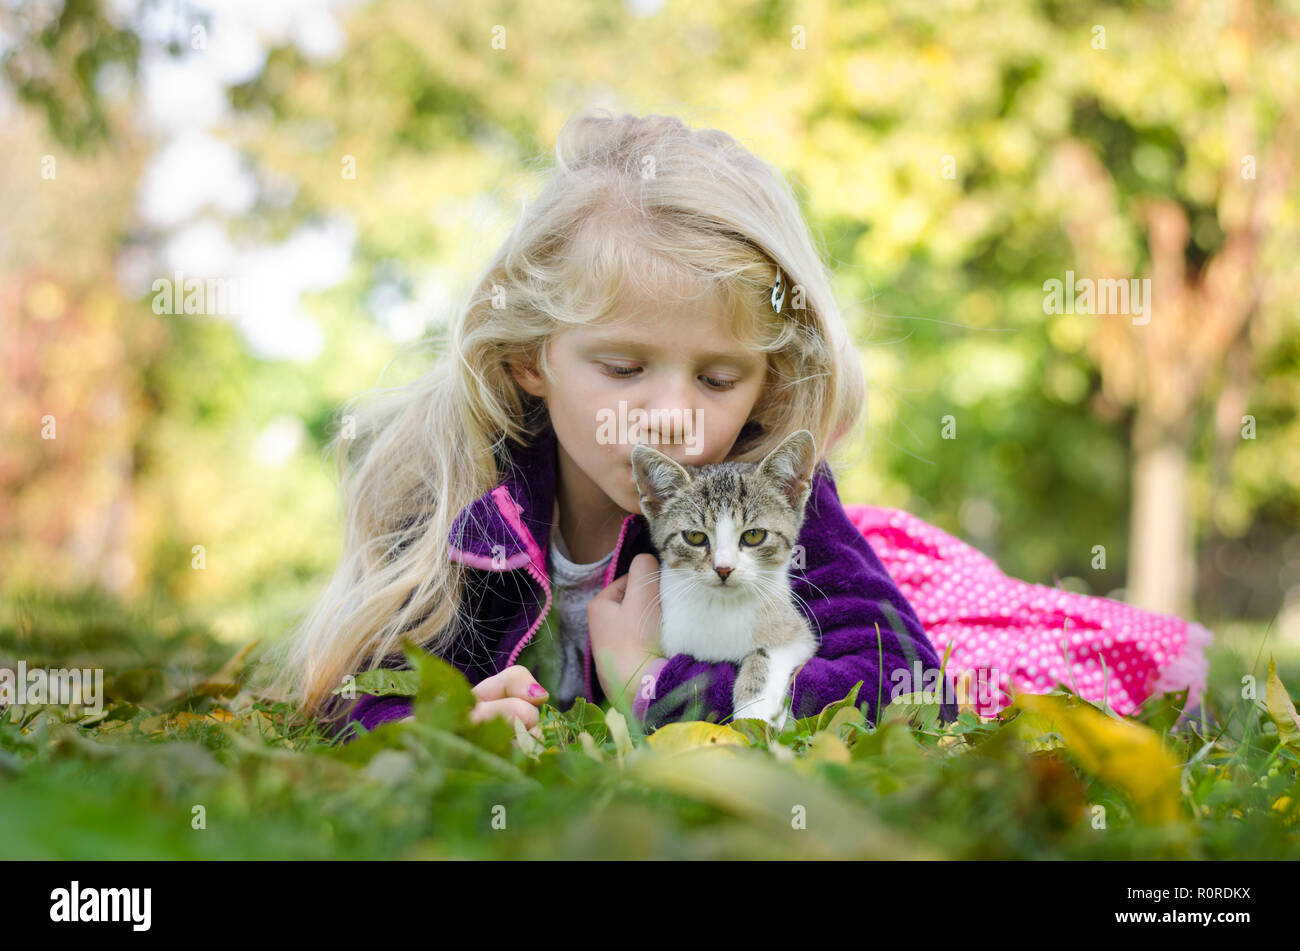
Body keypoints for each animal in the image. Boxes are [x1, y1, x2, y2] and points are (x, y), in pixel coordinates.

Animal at [631, 426, 821, 732]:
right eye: (694, 537)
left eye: (754, 535)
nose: (723, 568)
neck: (721, 607)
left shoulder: (799, 636)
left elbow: (766, 652)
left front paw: (755, 710)